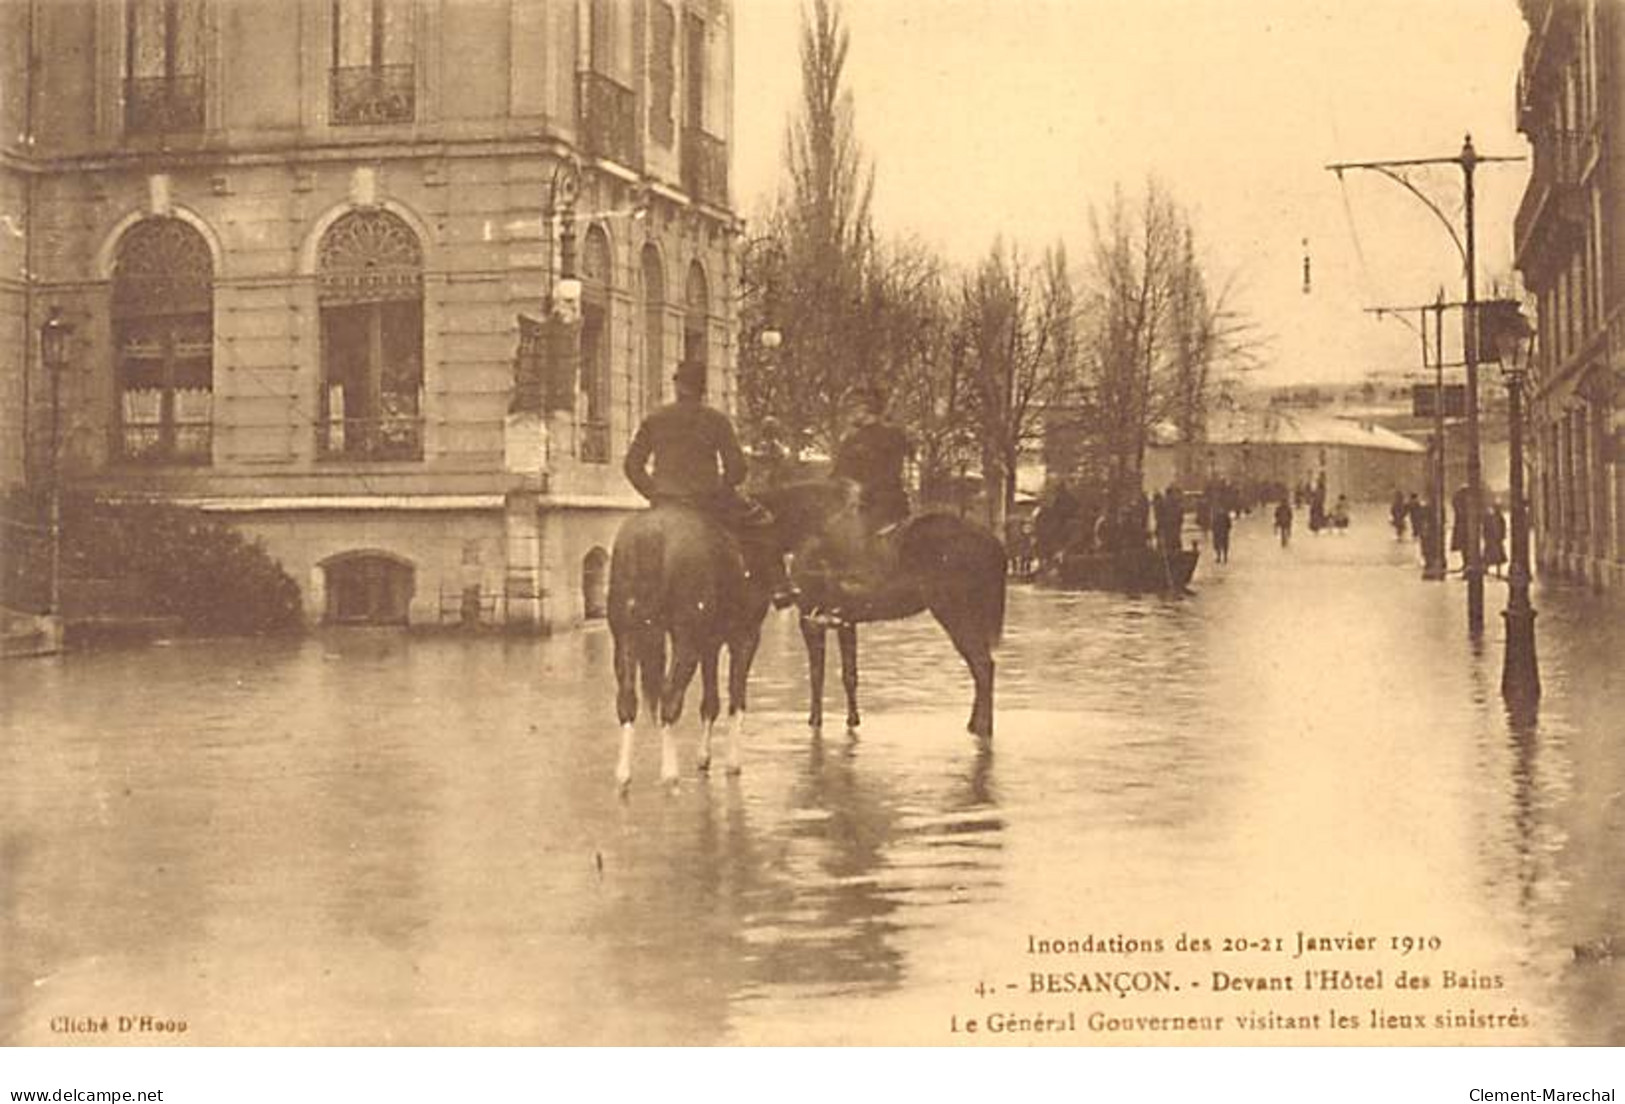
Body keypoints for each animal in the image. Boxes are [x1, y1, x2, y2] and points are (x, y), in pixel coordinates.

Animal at [607, 504, 770, 790]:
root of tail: (652, 533)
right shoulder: (746, 636)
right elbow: (736, 697)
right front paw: (732, 762)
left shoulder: (711, 643)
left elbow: (711, 702)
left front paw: (704, 757)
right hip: (686, 641)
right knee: (670, 698)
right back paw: (670, 774)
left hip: (626, 635)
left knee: (627, 700)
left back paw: (624, 775)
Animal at [757, 478, 1007, 738]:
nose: (782, 596)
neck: (813, 528)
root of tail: (993, 542)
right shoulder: (845, 621)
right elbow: (849, 674)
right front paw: (852, 720)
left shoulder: (810, 619)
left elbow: (817, 674)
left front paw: (815, 720)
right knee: (982, 666)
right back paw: (975, 725)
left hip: (954, 614)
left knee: (982, 665)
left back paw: (982, 728)